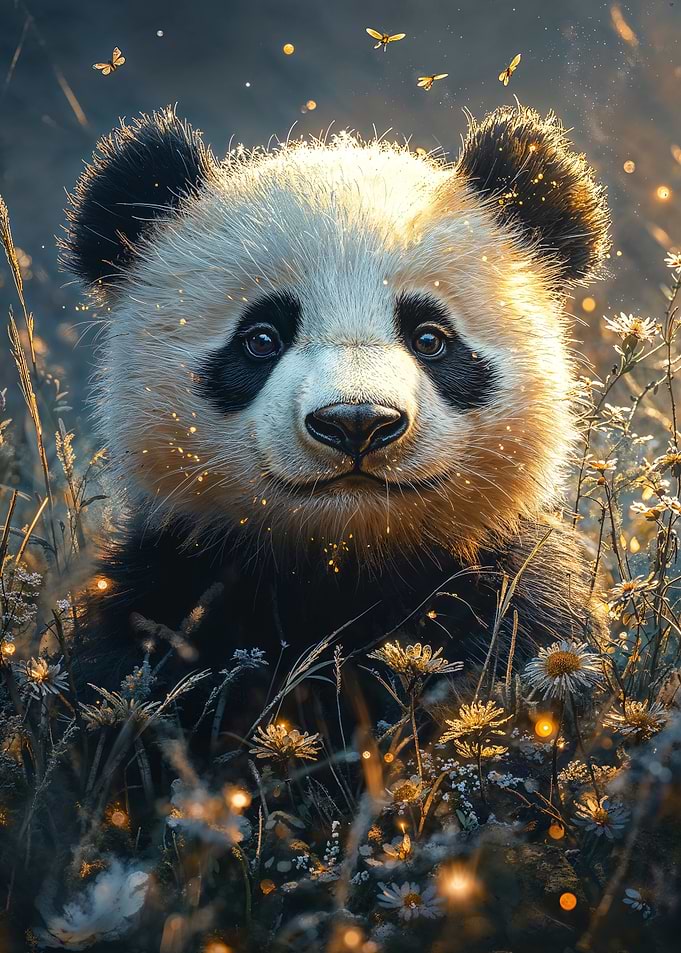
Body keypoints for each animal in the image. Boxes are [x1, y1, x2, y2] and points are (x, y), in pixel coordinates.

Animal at [62, 104, 610, 690]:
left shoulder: (508, 589)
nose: (357, 421)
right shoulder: (168, 590)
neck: (344, 565)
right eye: (261, 339)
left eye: (430, 338)